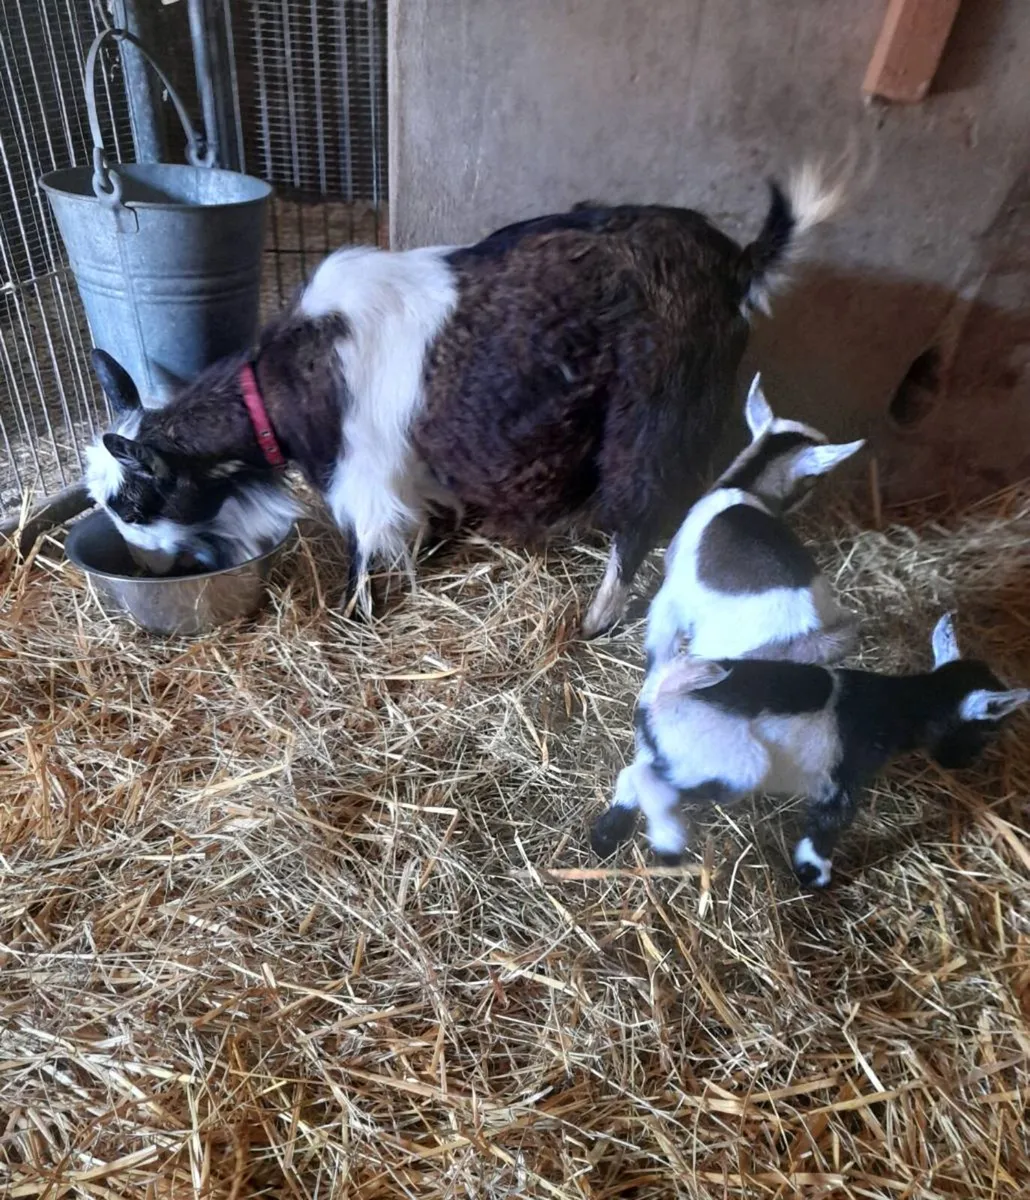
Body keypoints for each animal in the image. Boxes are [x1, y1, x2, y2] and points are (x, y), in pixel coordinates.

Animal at [85, 164, 844, 633]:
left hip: (656, 413)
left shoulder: (360, 475)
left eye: (136, 502)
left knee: (643, 510)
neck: (286, 384)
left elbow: (361, 544)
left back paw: (597, 617)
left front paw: (354, 613)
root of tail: (738, 262)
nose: (152, 569)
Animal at [592, 614, 1029, 887]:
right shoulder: (843, 777)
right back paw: (667, 842)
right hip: (732, 765)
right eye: (990, 729)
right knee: (652, 783)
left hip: (664, 747)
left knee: (632, 774)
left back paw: (607, 835)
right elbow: (829, 825)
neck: (901, 706)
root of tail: (668, 691)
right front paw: (813, 875)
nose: (964, 763)